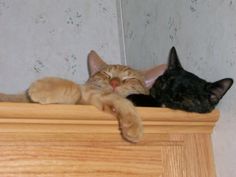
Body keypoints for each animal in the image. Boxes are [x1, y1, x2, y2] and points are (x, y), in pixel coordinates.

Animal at [0, 50, 166, 142]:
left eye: (129, 79)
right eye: (106, 75)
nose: (114, 82)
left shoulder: (94, 97)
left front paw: (131, 123)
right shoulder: (88, 94)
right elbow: (74, 87)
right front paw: (43, 88)